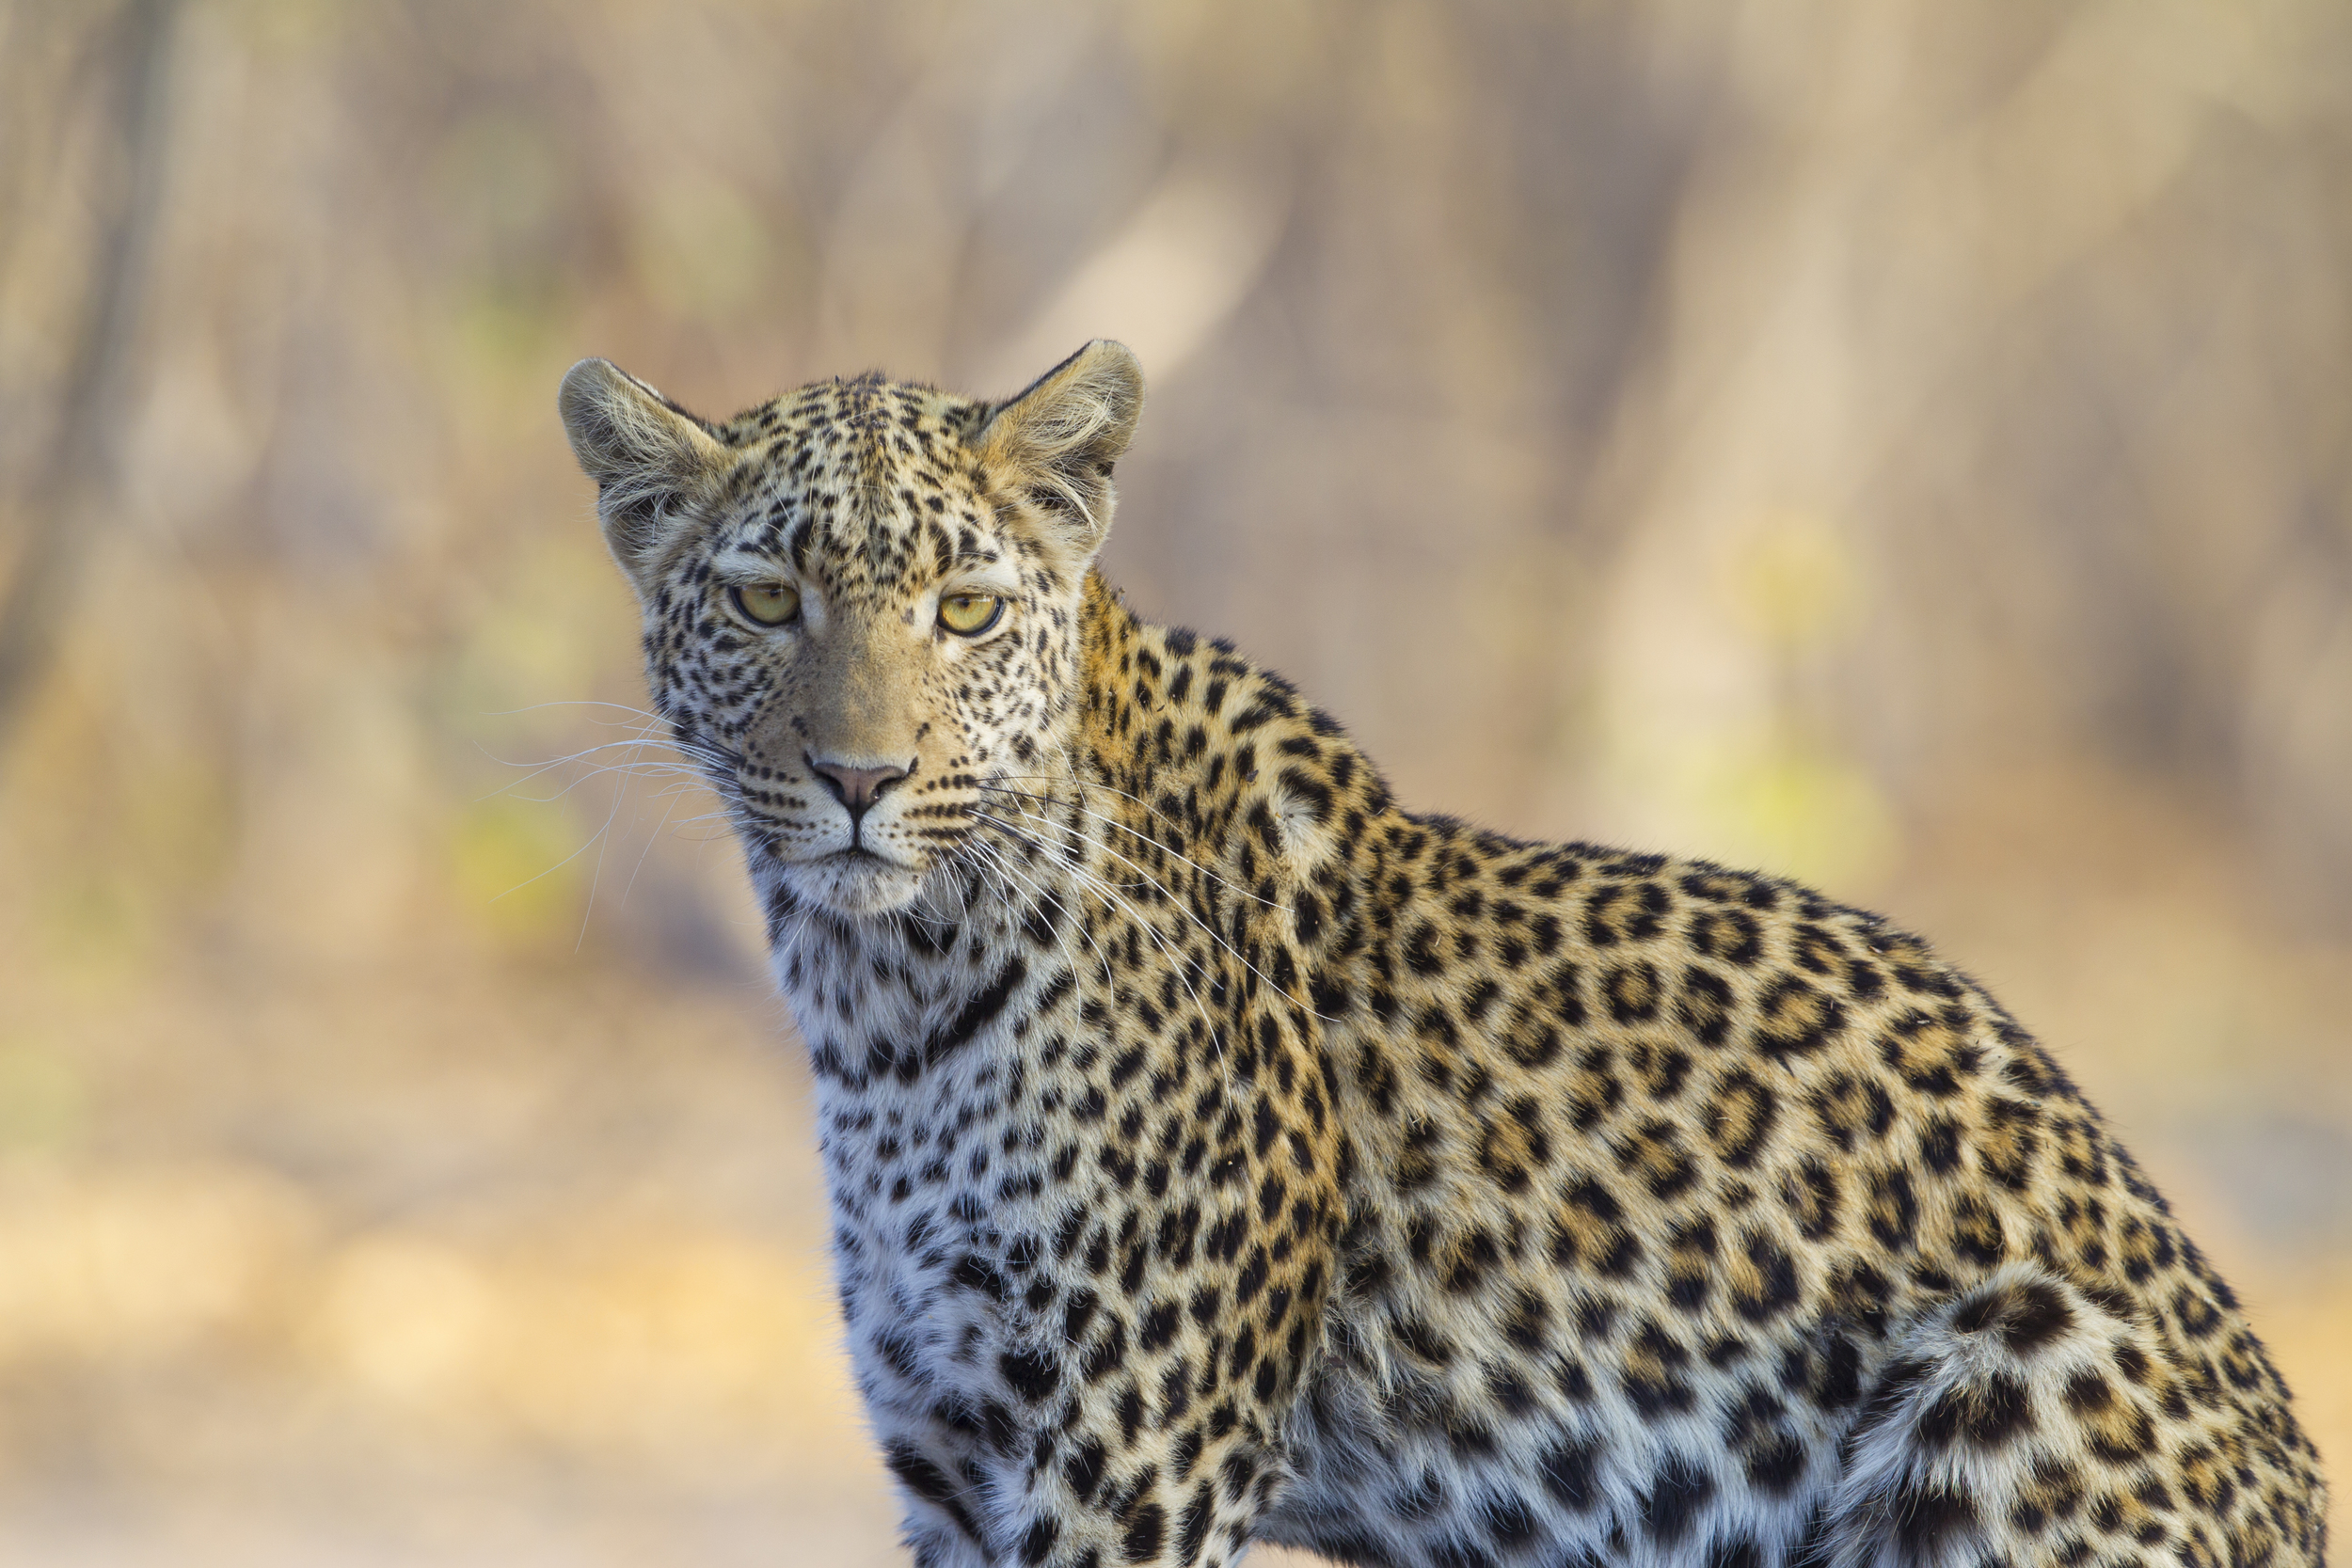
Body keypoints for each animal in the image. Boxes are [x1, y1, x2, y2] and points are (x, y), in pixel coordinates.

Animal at [555, 341, 2333, 1568]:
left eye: (970, 612)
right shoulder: (950, 1450)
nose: (861, 778)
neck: (889, 993)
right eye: (766, 601)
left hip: (2017, 1356)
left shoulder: (1128, 1451)